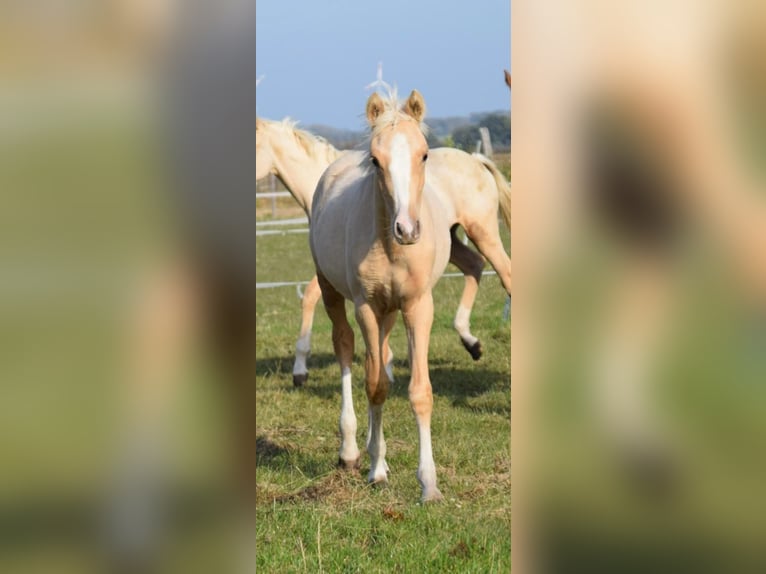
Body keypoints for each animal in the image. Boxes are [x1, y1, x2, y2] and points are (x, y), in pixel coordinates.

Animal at [255, 117, 512, 388]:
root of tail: (476, 159)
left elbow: (310, 296)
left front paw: (300, 370)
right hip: (452, 240)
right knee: (474, 264)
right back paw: (470, 342)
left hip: (483, 233)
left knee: (504, 272)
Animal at [310, 91, 452, 504]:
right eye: (375, 159)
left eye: (424, 154)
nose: (407, 229)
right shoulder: (367, 308)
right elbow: (375, 386)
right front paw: (376, 469)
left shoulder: (419, 306)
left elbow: (418, 391)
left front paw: (429, 485)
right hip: (332, 291)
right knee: (346, 349)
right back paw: (351, 452)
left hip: (391, 312)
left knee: (381, 358)